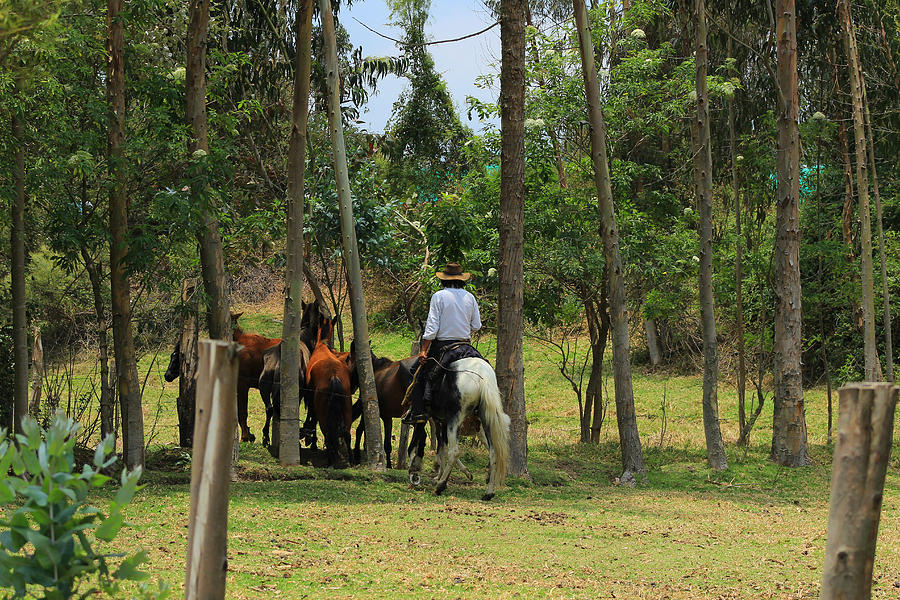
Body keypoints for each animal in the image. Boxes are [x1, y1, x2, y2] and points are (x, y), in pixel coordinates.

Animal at [408, 358, 506, 500]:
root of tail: (483, 377)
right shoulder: (441, 422)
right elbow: (441, 448)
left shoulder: (431, 420)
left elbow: (430, 445)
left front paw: (417, 468)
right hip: (486, 420)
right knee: (493, 452)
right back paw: (489, 492)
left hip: (455, 420)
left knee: (454, 452)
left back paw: (439, 487)